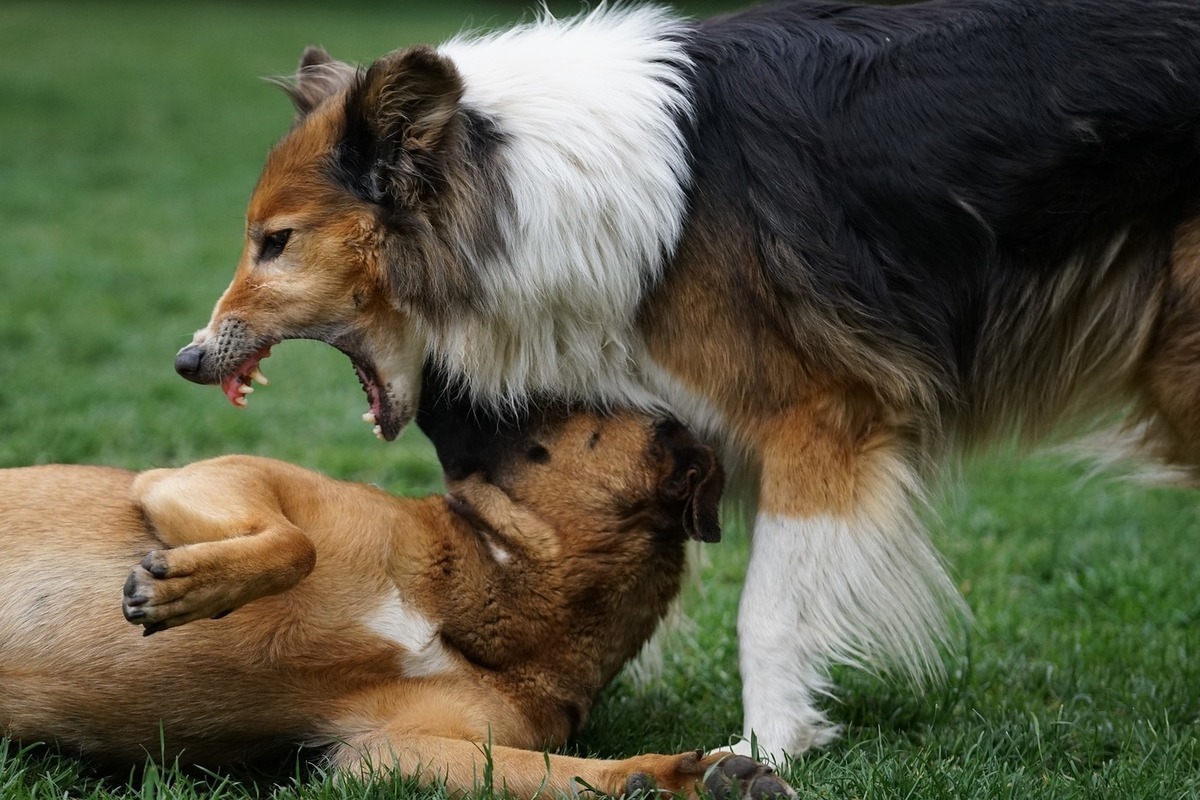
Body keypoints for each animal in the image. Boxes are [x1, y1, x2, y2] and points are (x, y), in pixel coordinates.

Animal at [171, 0, 1200, 762]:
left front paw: (768, 749)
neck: (527, 183)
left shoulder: (821, 420)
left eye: (276, 242)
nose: (186, 361)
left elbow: (768, 613)